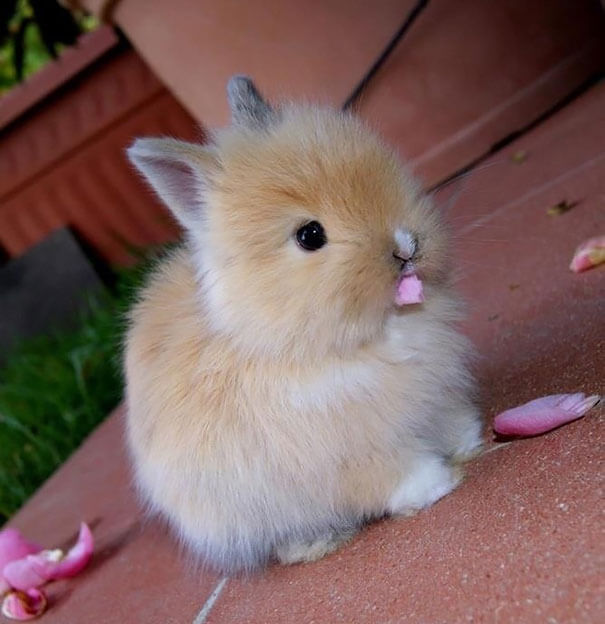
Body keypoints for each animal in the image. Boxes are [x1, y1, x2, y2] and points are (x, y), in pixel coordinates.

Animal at [126, 75, 482, 572]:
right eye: (310, 236)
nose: (406, 246)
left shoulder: (436, 397)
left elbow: (448, 420)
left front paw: (470, 440)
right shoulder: (348, 451)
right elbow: (390, 473)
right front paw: (438, 483)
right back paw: (319, 542)